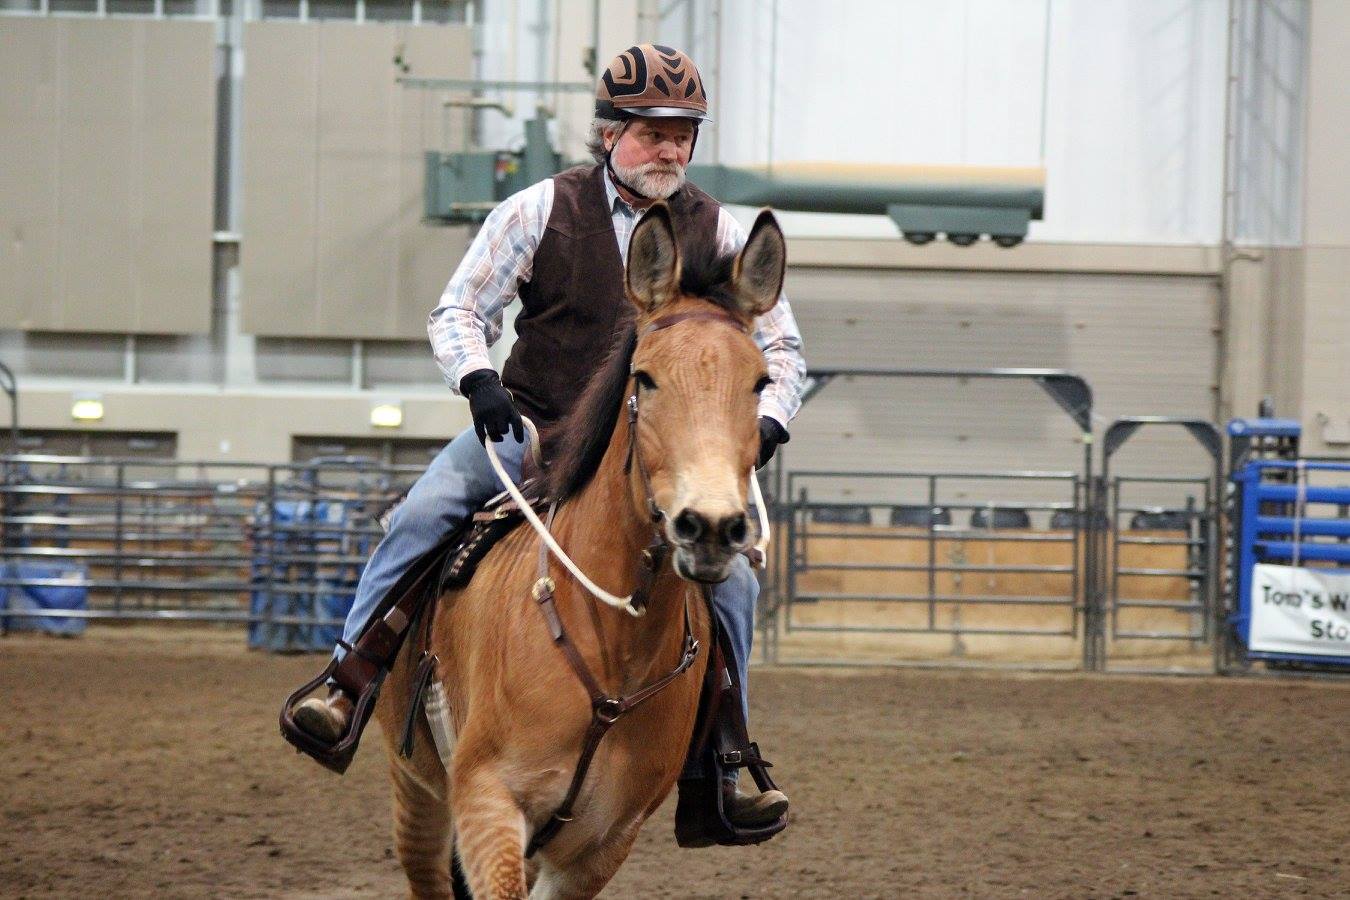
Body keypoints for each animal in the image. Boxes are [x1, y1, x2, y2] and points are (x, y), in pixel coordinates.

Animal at [372, 206, 788, 900]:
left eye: (760, 382)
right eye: (645, 378)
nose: (708, 526)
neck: (614, 651)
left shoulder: (602, 843)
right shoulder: (486, 801)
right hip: (415, 792)